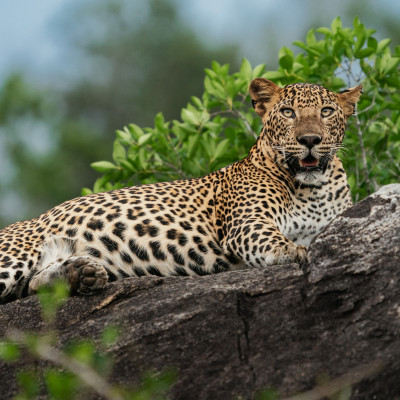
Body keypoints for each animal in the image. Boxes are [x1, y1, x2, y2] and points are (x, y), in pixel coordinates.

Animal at [0, 79, 362, 304]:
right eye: (288, 112)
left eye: (327, 112)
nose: (310, 140)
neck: (312, 189)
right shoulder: (247, 224)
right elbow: (274, 240)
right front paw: (294, 252)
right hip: (15, 253)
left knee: (34, 284)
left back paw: (80, 274)